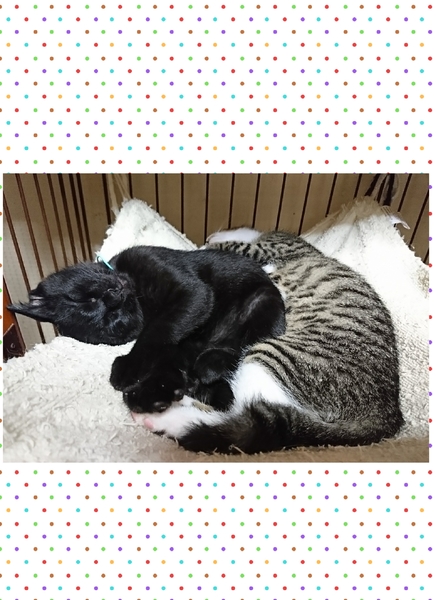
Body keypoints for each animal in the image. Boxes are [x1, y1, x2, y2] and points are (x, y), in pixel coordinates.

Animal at [8, 245, 286, 413]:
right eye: (113, 319)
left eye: (85, 298)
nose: (115, 297)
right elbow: (154, 334)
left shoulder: (193, 292)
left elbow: (155, 331)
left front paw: (128, 366)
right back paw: (156, 394)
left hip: (261, 301)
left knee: (243, 345)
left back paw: (209, 366)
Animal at [133, 229, 403, 454]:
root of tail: (386, 415)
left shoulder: (269, 249)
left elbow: (238, 245)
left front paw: (211, 243)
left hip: (272, 357)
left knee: (240, 414)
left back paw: (168, 416)